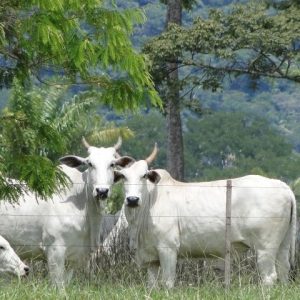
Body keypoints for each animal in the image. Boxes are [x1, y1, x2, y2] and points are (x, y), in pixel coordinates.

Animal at [0, 137, 130, 288]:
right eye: (90, 163)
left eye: (112, 164)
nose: (101, 191)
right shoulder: (55, 251)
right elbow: (58, 287)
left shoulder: (73, 258)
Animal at [113, 145, 296, 288]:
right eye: (123, 176)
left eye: (144, 175)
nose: (132, 200)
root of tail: (282, 186)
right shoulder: (151, 257)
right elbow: (152, 284)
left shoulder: (168, 248)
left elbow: (167, 282)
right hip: (283, 244)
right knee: (284, 270)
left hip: (265, 247)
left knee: (269, 277)